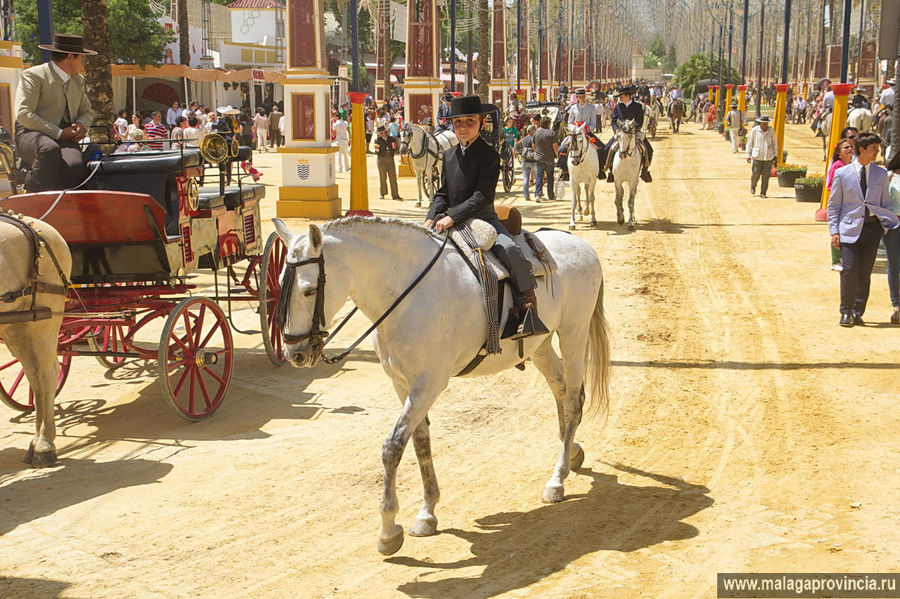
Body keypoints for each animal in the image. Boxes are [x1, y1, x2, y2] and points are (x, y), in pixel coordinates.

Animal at [0, 217, 71, 468]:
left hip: (44, 318)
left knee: (46, 374)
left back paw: (44, 445)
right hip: (17, 324)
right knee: (33, 375)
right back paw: (37, 442)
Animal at [274, 216, 612, 556]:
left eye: (309, 290)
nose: (295, 353)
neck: (406, 292)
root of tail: (581, 245)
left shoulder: (428, 383)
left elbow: (393, 447)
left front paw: (388, 530)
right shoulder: (402, 384)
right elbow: (420, 443)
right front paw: (427, 512)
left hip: (573, 332)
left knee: (574, 400)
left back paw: (557, 479)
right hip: (539, 344)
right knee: (560, 388)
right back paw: (571, 453)